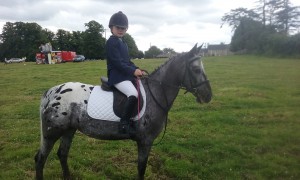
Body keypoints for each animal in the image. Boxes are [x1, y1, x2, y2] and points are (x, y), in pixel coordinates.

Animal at [35, 44, 212, 180]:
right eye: (196, 69)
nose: (208, 96)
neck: (155, 93)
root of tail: (51, 93)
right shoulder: (145, 142)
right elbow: (141, 169)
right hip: (52, 133)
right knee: (40, 159)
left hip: (69, 130)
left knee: (62, 154)